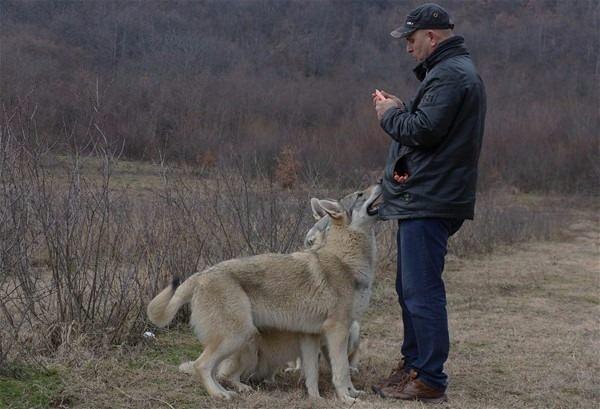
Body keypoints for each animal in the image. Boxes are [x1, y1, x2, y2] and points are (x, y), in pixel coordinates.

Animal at [148, 183, 380, 400]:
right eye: (360, 194)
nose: (380, 183)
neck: (346, 259)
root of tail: (200, 275)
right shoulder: (337, 330)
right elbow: (341, 371)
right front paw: (347, 399)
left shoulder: (311, 336)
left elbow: (314, 374)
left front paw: (320, 398)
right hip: (237, 336)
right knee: (202, 366)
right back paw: (219, 395)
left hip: (236, 340)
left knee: (214, 371)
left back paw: (229, 391)